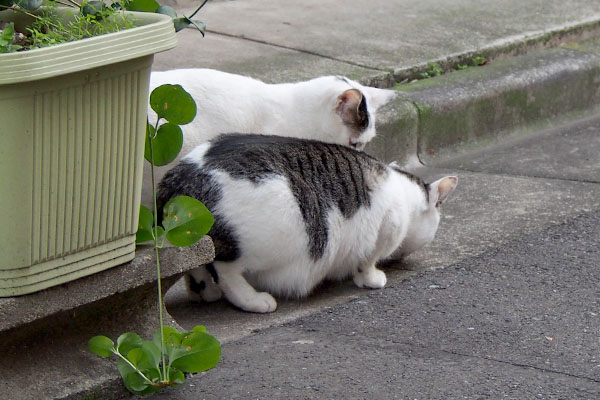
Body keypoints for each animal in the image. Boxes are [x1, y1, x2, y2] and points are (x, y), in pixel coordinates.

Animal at [157, 134, 458, 312]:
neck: (404, 193)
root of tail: (182, 176)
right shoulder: (386, 227)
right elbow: (368, 260)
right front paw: (372, 279)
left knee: (197, 265)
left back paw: (205, 291)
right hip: (269, 236)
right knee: (225, 269)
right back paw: (254, 300)